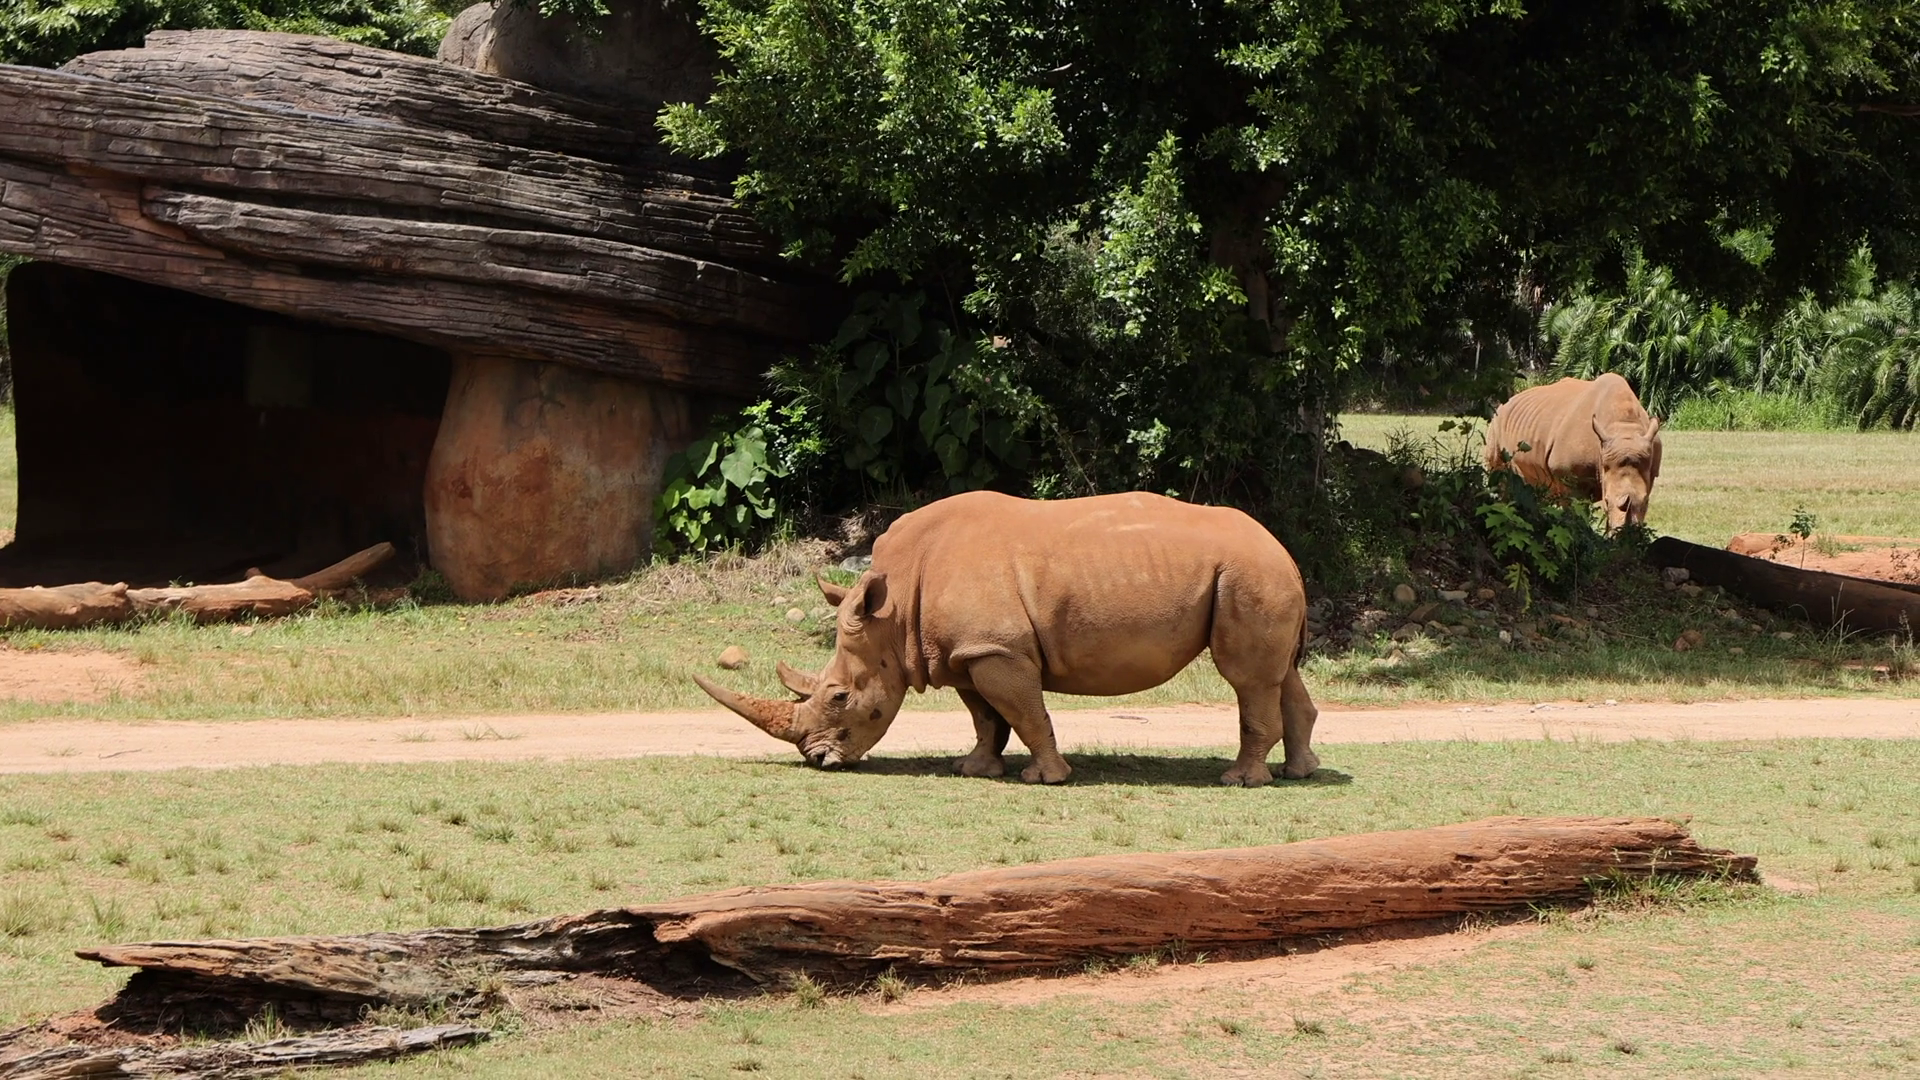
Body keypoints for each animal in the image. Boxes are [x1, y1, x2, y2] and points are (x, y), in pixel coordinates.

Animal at [695, 491, 1319, 786]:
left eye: (841, 697)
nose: (818, 760)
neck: (893, 616)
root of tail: (1284, 548)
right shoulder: (964, 651)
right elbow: (985, 716)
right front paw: (973, 770)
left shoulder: (997, 648)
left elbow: (1024, 710)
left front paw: (1045, 779)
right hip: (1259, 574)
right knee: (1282, 674)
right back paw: (1301, 773)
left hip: (1247, 573)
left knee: (1247, 678)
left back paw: (1239, 781)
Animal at [1483, 373, 1663, 529]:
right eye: (1605, 501)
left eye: (1646, 502)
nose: (1627, 533)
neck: (1624, 427)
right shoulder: (1568, 476)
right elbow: (1577, 513)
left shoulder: (1650, 471)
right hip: (1496, 421)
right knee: (1498, 476)